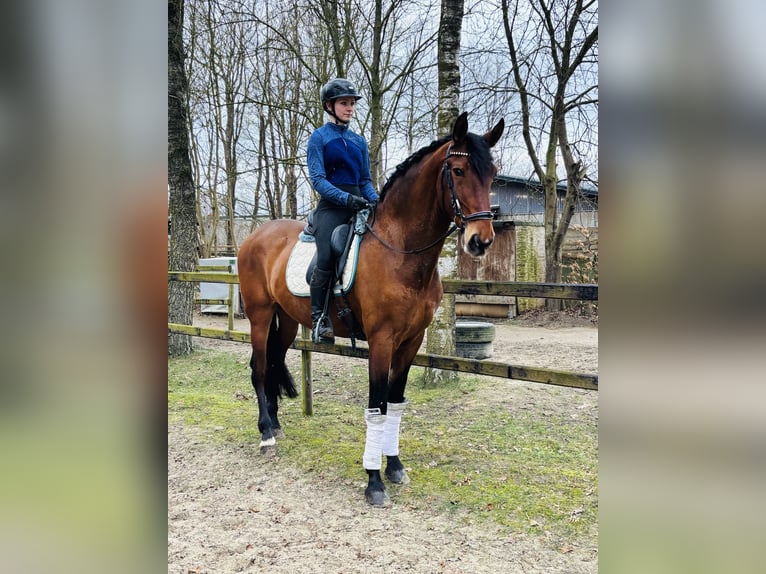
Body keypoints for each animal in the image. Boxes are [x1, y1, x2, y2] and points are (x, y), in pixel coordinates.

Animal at [237, 112, 504, 506]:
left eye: (492, 173)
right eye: (457, 171)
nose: (480, 241)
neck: (400, 250)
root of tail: (255, 236)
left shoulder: (411, 341)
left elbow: (395, 403)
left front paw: (394, 467)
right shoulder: (381, 340)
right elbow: (377, 407)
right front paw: (374, 481)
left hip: (285, 321)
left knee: (272, 362)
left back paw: (275, 425)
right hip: (259, 315)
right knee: (258, 368)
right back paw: (266, 435)